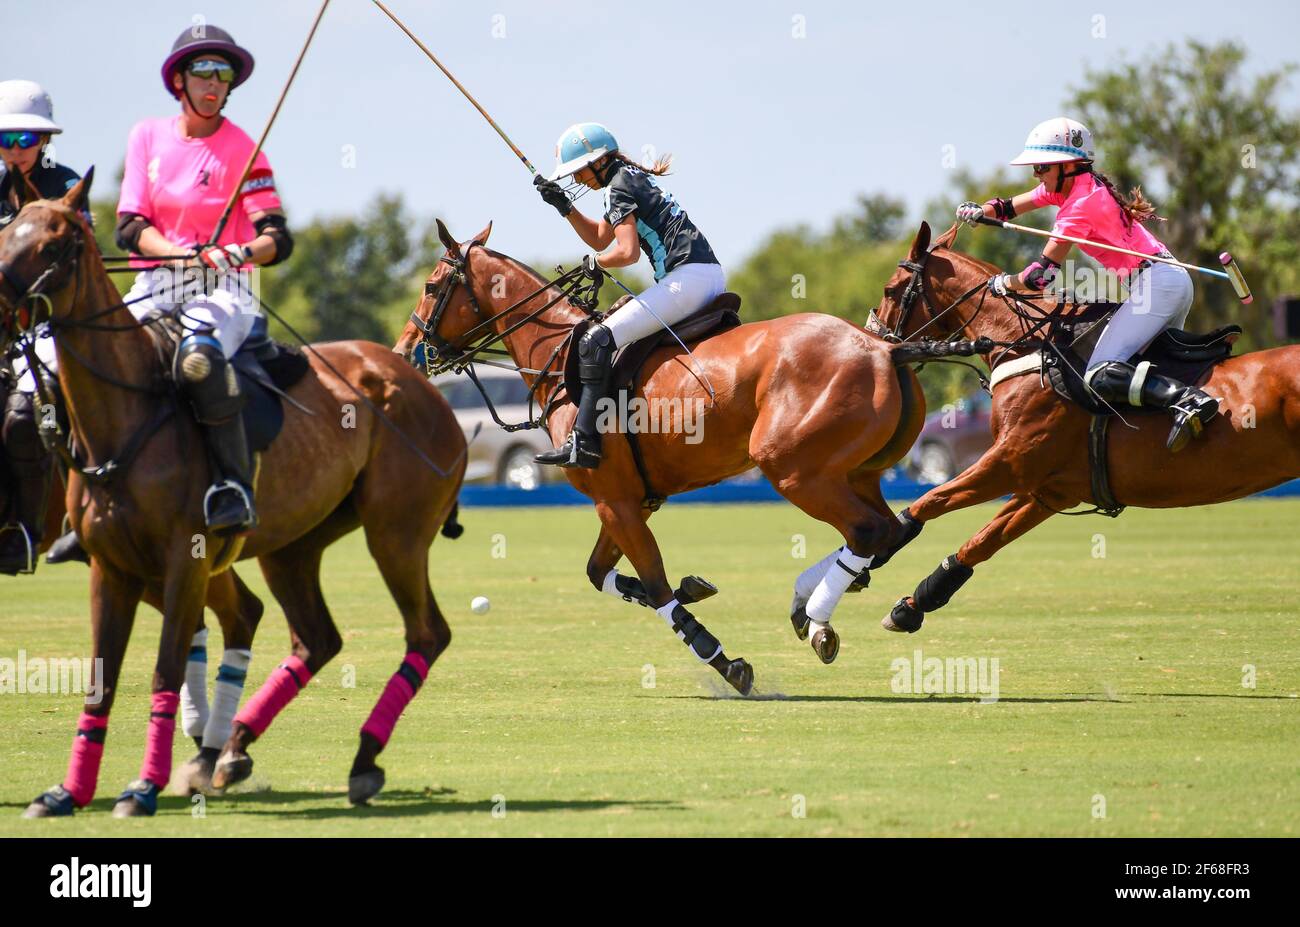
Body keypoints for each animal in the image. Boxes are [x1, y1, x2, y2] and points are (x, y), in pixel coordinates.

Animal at [0, 170, 467, 811]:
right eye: (5, 234)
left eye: (55, 244)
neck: (124, 416)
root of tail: (420, 382)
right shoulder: (111, 566)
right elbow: (101, 679)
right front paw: (68, 791)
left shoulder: (186, 557)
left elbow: (165, 666)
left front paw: (141, 787)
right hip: (293, 544)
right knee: (314, 637)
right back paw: (232, 748)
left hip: (395, 533)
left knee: (425, 632)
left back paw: (358, 758)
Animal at [390, 221, 930, 691]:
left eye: (432, 286)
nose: (404, 351)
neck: (558, 357)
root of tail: (884, 351)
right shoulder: (629, 501)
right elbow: (603, 575)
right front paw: (696, 588)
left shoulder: (615, 502)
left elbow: (654, 586)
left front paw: (723, 660)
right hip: (857, 472)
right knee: (890, 529)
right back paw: (806, 602)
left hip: (793, 470)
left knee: (867, 531)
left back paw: (815, 617)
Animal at [863, 221, 1300, 631]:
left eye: (890, 290)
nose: (874, 345)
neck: (1027, 343)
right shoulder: (1050, 488)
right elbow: (981, 542)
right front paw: (911, 606)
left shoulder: (1011, 461)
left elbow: (930, 500)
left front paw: (876, 550)